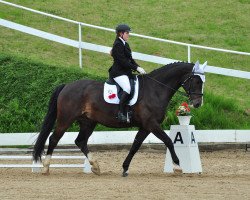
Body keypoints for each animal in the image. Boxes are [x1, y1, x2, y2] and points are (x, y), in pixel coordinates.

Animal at [33, 61, 206, 177]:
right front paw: (178, 166)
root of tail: (67, 85)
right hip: (66, 118)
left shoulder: (145, 126)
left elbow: (135, 145)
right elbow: (169, 141)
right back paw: (46, 167)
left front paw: (125, 168)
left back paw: (95, 166)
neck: (155, 90)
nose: (198, 103)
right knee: (54, 138)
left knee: (80, 141)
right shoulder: (151, 124)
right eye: (196, 80)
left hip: (88, 122)